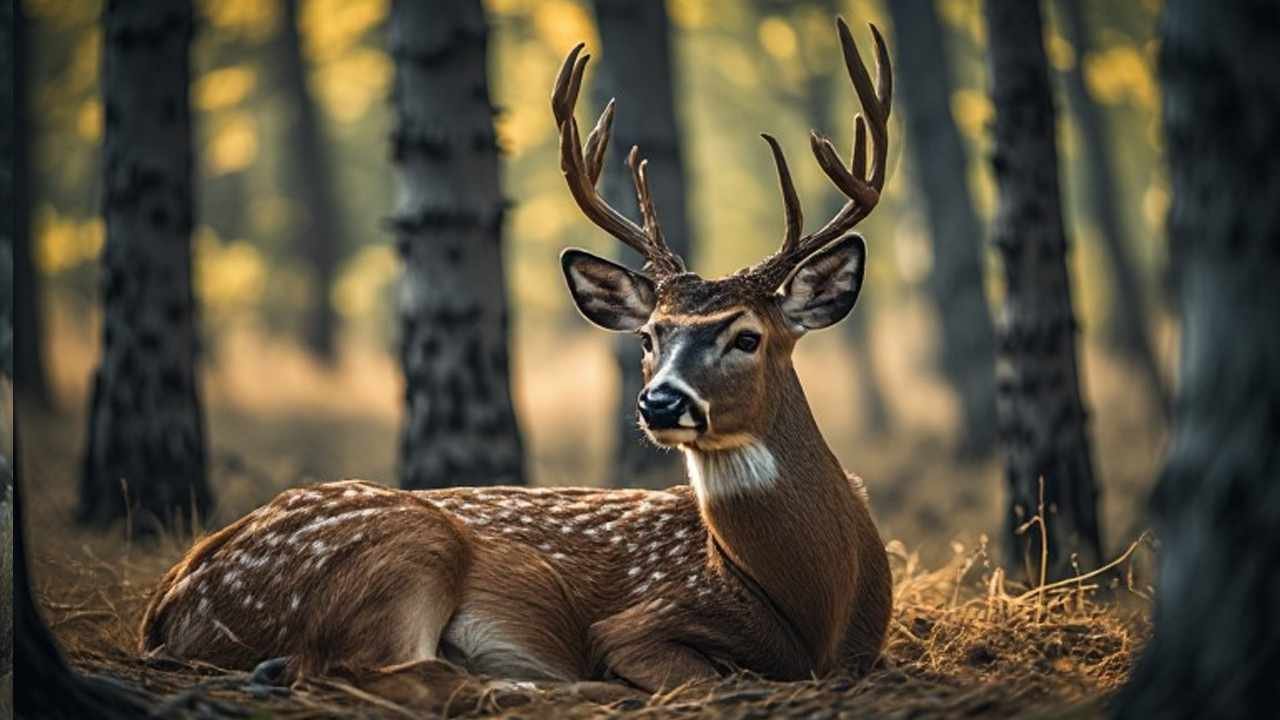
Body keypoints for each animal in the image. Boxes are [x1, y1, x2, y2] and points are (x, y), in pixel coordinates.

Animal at [139, 16, 894, 694]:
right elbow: (704, 679)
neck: (817, 607)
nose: (660, 402)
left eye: (747, 336)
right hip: (408, 547)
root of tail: (169, 600)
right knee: (374, 673)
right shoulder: (638, 622)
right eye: (649, 336)